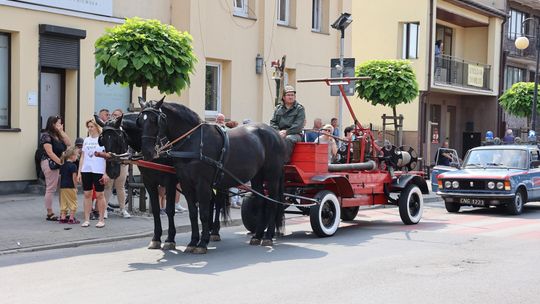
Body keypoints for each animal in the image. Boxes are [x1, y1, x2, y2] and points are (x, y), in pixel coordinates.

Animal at [137, 98, 284, 254]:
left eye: (155, 120)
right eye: (140, 121)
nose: (147, 152)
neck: (193, 141)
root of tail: (274, 133)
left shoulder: (200, 183)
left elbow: (204, 213)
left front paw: (202, 243)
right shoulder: (185, 183)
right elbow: (193, 213)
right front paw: (193, 242)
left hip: (272, 176)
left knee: (272, 202)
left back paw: (268, 236)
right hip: (257, 176)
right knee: (261, 200)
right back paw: (257, 235)